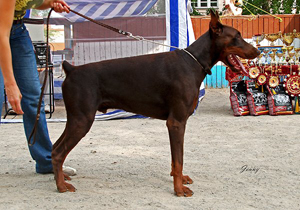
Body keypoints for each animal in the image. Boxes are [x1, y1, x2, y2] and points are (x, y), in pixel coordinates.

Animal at [51, 9, 260, 197]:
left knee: (54, 148)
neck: (194, 62)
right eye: (237, 36)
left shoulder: (176, 123)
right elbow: (179, 159)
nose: (258, 51)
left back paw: (61, 178)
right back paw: (60, 186)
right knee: (59, 152)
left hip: (76, 119)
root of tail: (71, 69)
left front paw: (178, 179)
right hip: (82, 119)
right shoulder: (176, 122)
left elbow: (176, 159)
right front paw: (178, 189)